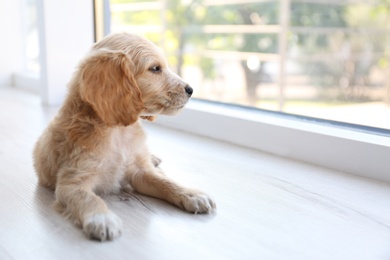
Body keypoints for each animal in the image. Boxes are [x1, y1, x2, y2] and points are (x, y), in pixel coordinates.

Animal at [33, 33, 216, 242]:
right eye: (155, 68)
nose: (190, 90)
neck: (117, 131)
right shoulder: (72, 181)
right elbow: (89, 197)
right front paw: (102, 218)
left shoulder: (139, 172)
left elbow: (165, 182)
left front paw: (191, 194)